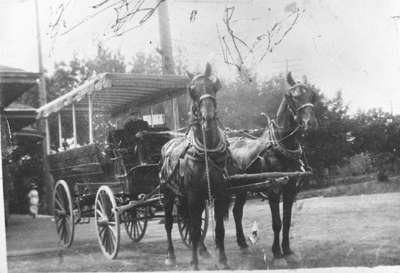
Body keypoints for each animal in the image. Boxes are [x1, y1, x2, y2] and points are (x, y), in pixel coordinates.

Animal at [158, 63, 230, 270]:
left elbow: (219, 229)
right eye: (191, 90)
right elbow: (196, 230)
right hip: (168, 194)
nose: (208, 118)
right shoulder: (193, 196)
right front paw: (195, 264)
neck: (207, 152)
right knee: (169, 223)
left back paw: (202, 250)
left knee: (189, 223)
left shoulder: (220, 194)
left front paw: (222, 260)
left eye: (215, 85)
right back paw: (171, 255)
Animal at [230, 71, 318, 262]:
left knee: (237, 212)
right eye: (293, 96)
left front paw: (287, 248)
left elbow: (287, 221)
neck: (282, 147)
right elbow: (277, 223)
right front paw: (277, 251)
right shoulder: (274, 190)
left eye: (312, 95)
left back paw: (243, 243)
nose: (311, 124)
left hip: (242, 190)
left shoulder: (290, 190)